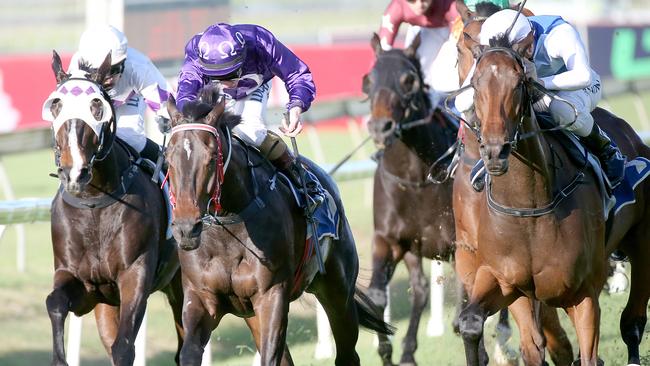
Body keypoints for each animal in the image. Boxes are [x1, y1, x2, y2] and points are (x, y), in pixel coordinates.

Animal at [43, 50, 184, 364]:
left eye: (97, 106)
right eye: (56, 105)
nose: (74, 172)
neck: (94, 203)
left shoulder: (135, 275)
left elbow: (124, 347)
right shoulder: (81, 283)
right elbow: (54, 301)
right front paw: (59, 357)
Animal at [165, 86, 392, 366]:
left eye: (211, 158)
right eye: (168, 158)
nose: (186, 228)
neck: (228, 226)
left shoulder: (271, 296)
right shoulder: (201, 298)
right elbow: (189, 352)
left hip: (338, 292)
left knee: (347, 353)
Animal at [454, 27, 648, 364]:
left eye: (518, 82)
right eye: (475, 84)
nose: (494, 151)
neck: (528, 208)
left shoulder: (584, 295)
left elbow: (588, 354)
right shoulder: (504, 281)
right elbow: (472, 323)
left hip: (642, 241)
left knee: (633, 321)